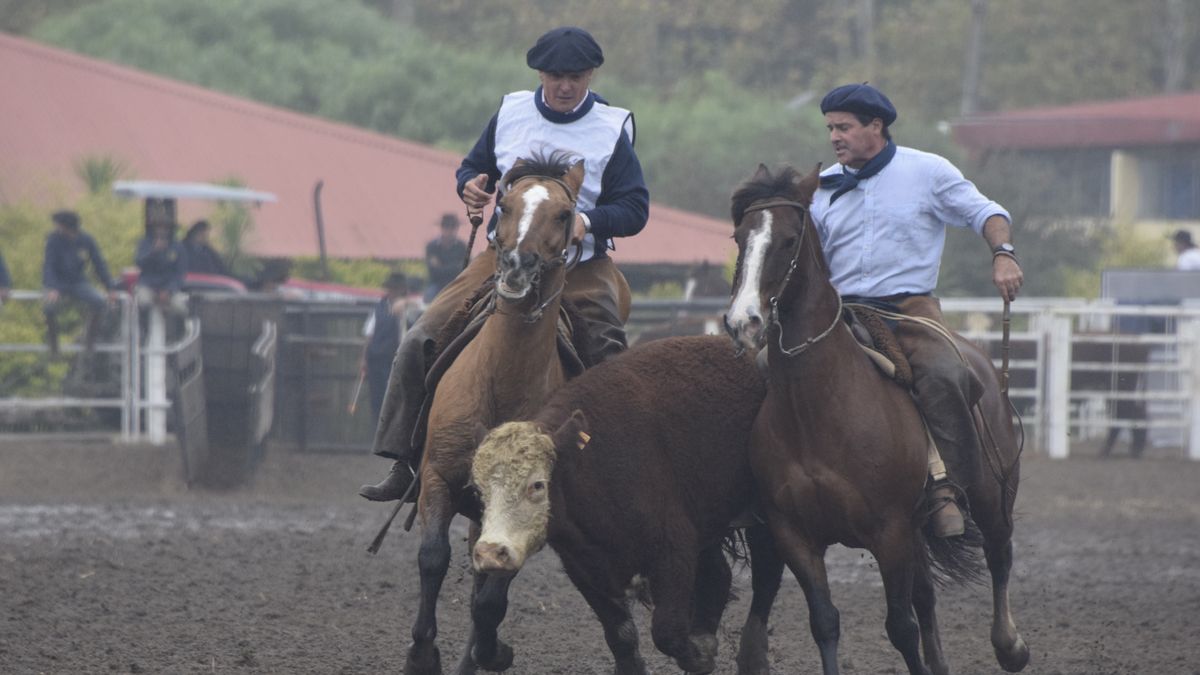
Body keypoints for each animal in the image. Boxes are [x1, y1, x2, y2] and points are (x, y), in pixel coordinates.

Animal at [403, 153, 593, 675]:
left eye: (564, 215)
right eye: (503, 205)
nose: (516, 265)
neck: (501, 381)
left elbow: (491, 597)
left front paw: (492, 652)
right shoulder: (438, 477)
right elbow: (432, 557)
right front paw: (421, 655)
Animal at [723, 164, 1028, 675]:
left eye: (788, 239)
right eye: (739, 236)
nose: (743, 321)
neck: (817, 408)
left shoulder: (890, 531)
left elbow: (900, 626)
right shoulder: (796, 535)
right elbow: (826, 622)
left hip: (992, 493)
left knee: (999, 553)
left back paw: (1010, 645)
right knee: (927, 597)